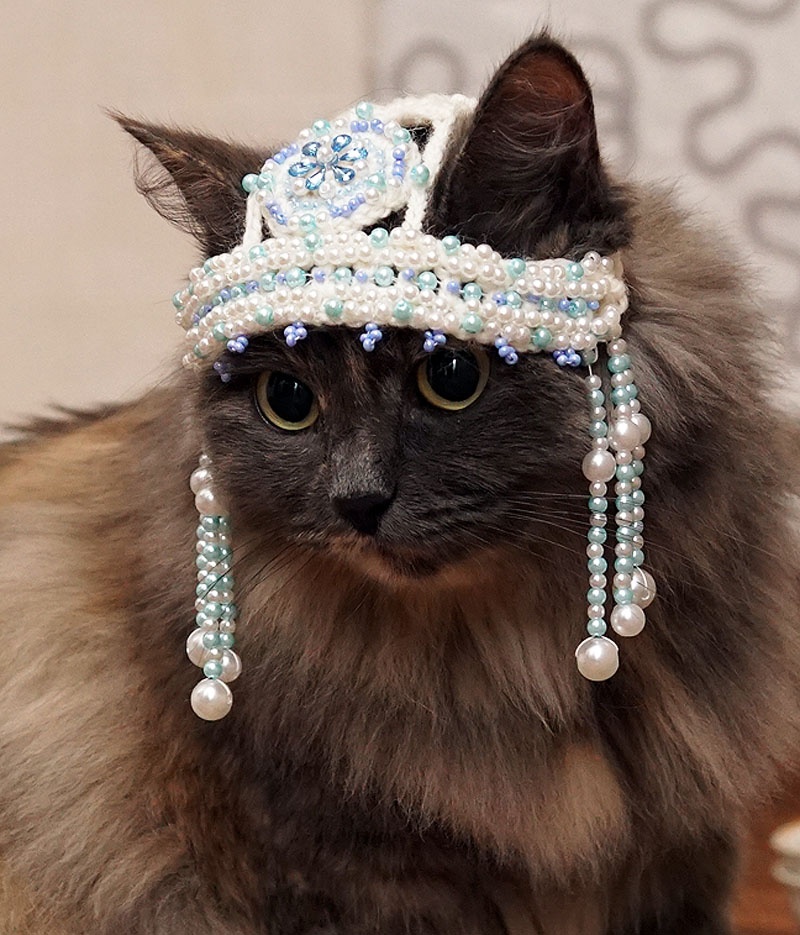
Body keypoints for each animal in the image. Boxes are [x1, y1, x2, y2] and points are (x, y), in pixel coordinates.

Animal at [1, 31, 800, 935]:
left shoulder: (683, 854)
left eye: (450, 377)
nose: (358, 500)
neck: (510, 664)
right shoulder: (344, 873)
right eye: (289, 401)